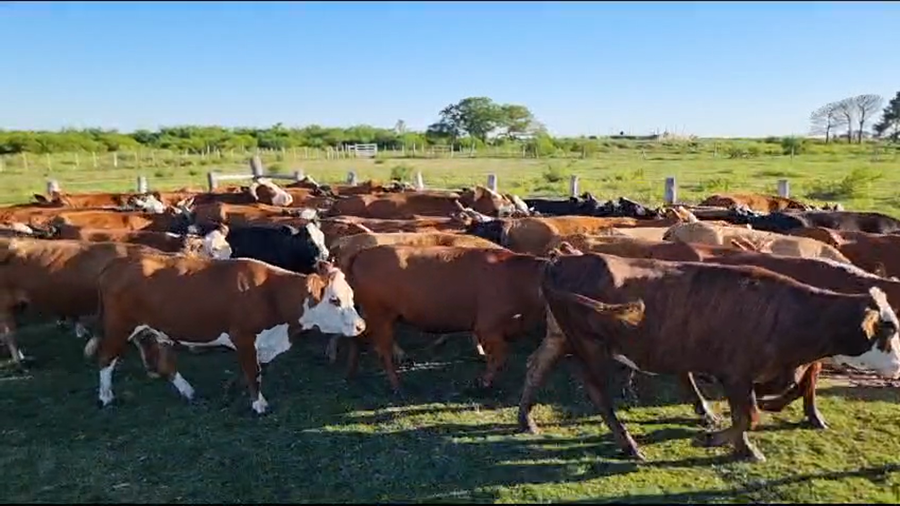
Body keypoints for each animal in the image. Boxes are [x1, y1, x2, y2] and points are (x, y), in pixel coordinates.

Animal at [84, 255, 366, 414]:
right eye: (335, 300)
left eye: (351, 297)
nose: (361, 326)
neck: (270, 294)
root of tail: (115, 264)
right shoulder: (243, 336)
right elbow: (253, 372)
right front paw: (259, 405)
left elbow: (251, 370)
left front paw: (231, 389)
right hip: (119, 327)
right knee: (106, 360)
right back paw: (105, 397)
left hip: (156, 330)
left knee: (166, 364)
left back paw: (188, 391)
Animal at [344, 245, 549, 393]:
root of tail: (362, 253)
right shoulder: (487, 328)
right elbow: (499, 358)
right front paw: (481, 383)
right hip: (382, 317)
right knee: (383, 351)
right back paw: (397, 386)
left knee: (357, 338)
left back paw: (351, 375)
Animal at [518, 252, 900, 462]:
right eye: (888, 330)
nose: (898, 366)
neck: (788, 313)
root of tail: (562, 260)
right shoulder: (736, 374)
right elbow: (750, 416)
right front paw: (716, 440)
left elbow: (757, 408)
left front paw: (740, 446)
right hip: (590, 345)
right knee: (597, 392)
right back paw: (629, 444)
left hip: (559, 336)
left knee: (537, 367)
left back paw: (527, 420)